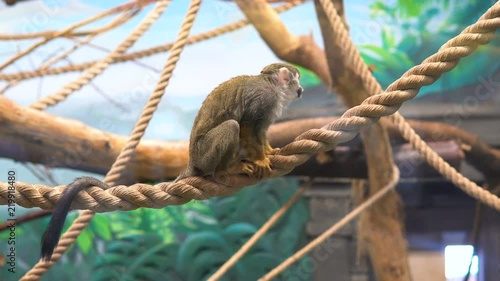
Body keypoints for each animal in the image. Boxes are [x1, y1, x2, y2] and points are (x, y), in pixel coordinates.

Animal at [39, 62, 302, 260]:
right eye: (297, 80)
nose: (300, 90)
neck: (272, 86)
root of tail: (192, 161)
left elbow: (260, 131)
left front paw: (268, 152)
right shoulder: (264, 99)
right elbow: (248, 125)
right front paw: (261, 160)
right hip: (205, 154)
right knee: (232, 126)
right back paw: (226, 170)